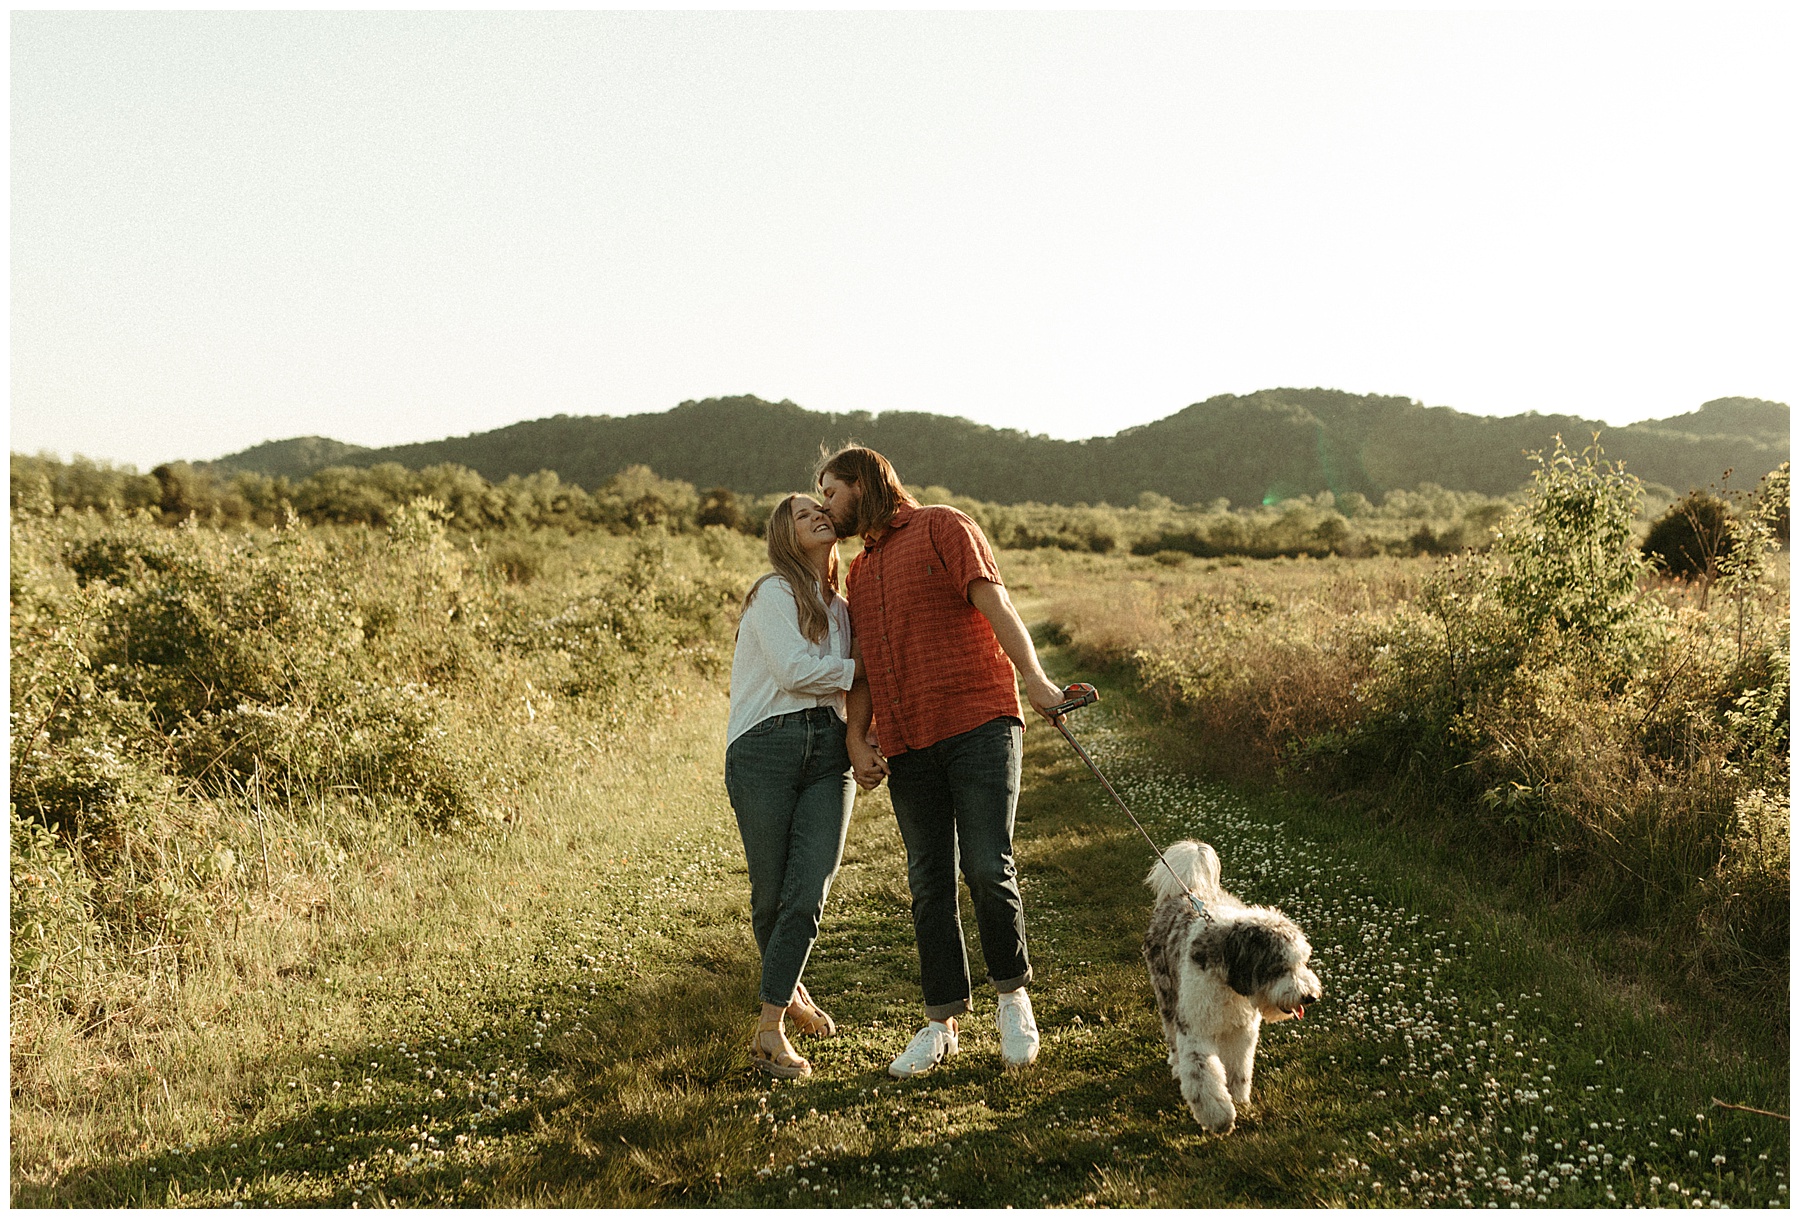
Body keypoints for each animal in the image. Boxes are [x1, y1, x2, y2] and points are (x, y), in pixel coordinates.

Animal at [1137, 835, 1324, 1130]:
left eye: (1303, 961)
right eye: (1280, 967)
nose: (1311, 997)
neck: (1229, 984)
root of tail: (1185, 891)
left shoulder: (1242, 1030)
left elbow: (1239, 1068)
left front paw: (1239, 1098)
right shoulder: (1195, 1028)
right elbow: (1203, 1075)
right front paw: (1218, 1116)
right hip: (1166, 994)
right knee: (1172, 1037)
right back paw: (1176, 1064)